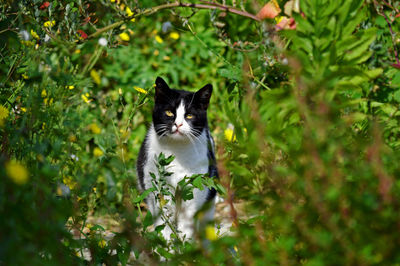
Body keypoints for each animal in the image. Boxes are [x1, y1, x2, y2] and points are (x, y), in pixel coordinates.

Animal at [138, 76, 219, 241]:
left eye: (189, 115)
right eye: (169, 112)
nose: (178, 124)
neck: (177, 151)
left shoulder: (195, 188)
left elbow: (186, 226)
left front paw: (185, 246)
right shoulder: (156, 187)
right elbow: (163, 224)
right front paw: (165, 247)